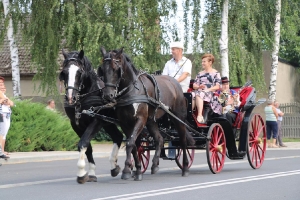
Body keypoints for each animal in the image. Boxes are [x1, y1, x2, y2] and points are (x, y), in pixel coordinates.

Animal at [59, 49, 123, 183]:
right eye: (64, 72)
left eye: (79, 72)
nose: (70, 98)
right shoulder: (76, 124)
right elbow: (87, 147)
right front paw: (91, 173)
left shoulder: (96, 121)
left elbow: (83, 142)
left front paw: (81, 173)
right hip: (108, 123)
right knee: (118, 137)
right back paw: (114, 167)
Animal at [97, 47, 193, 181]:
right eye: (102, 70)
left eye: (116, 69)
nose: (107, 95)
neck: (132, 90)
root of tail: (175, 83)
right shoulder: (125, 123)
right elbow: (134, 146)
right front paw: (137, 170)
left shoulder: (140, 119)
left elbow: (130, 143)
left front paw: (127, 170)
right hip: (151, 121)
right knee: (159, 139)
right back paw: (155, 164)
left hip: (178, 118)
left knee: (183, 141)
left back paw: (185, 168)